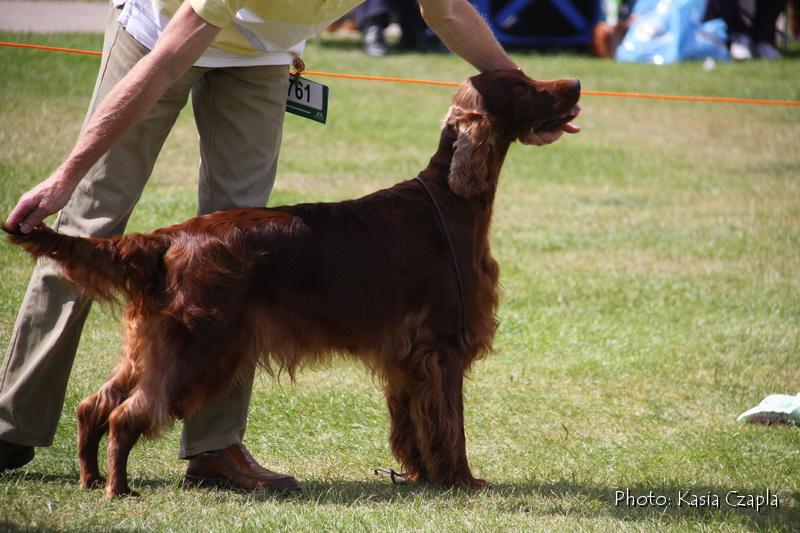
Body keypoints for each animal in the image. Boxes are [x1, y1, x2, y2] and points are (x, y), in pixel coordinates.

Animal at [6, 68, 580, 496]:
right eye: (523, 84)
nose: (574, 84)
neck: (449, 198)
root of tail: (170, 238)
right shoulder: (442, 346)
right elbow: (450, 424)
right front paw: (461, 480)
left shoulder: (405, 355)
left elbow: (412, 422)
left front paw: (419, 475)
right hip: (200, 350)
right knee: (127, 416)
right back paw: (118, 489)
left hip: (151, 346)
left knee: (94, 405)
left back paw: (91, 479)